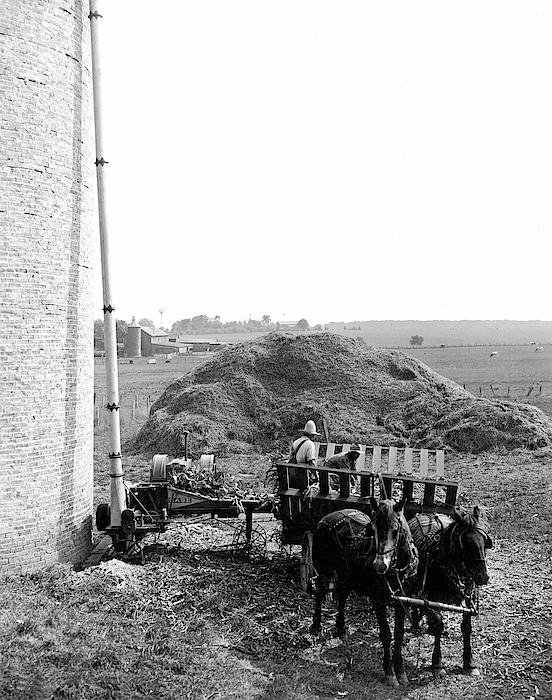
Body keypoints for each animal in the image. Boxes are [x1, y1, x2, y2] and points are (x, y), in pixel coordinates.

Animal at [310, 498, 418, 688]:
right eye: (372, 529)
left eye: (395, 530)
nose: (380, 565)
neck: (396, 570)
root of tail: (328, 517)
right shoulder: (378, 600)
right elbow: (386, 634)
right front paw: (389, 673)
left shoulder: (403, 601)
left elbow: (399, 634)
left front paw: (400, 671)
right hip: (323, 569)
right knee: (320, 593)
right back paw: (316, 625)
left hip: (345, 575)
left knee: (342, 595)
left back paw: (340, 627)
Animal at [408, 506, 494, 676]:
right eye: (467, 543)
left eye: (484, 541)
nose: (483, 576)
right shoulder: (431, 597)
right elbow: (438, 624)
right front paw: (437, 663)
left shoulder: (467, 596)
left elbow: (466, 627)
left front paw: (469, 662)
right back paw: (415, 621)